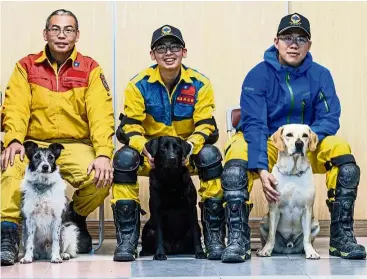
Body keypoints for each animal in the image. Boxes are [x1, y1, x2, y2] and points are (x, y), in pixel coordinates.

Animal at [258, 124, 322, 260]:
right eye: (289, 135)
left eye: (305, 135)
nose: (299, 144)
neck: (293, 173)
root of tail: (289, 247)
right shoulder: (274, 208)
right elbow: (271, 235)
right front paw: (266, 250)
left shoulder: (307, 209)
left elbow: (307, 237)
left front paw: (311, 252)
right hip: (263, 221)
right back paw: (261, 248)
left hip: (316, 224)